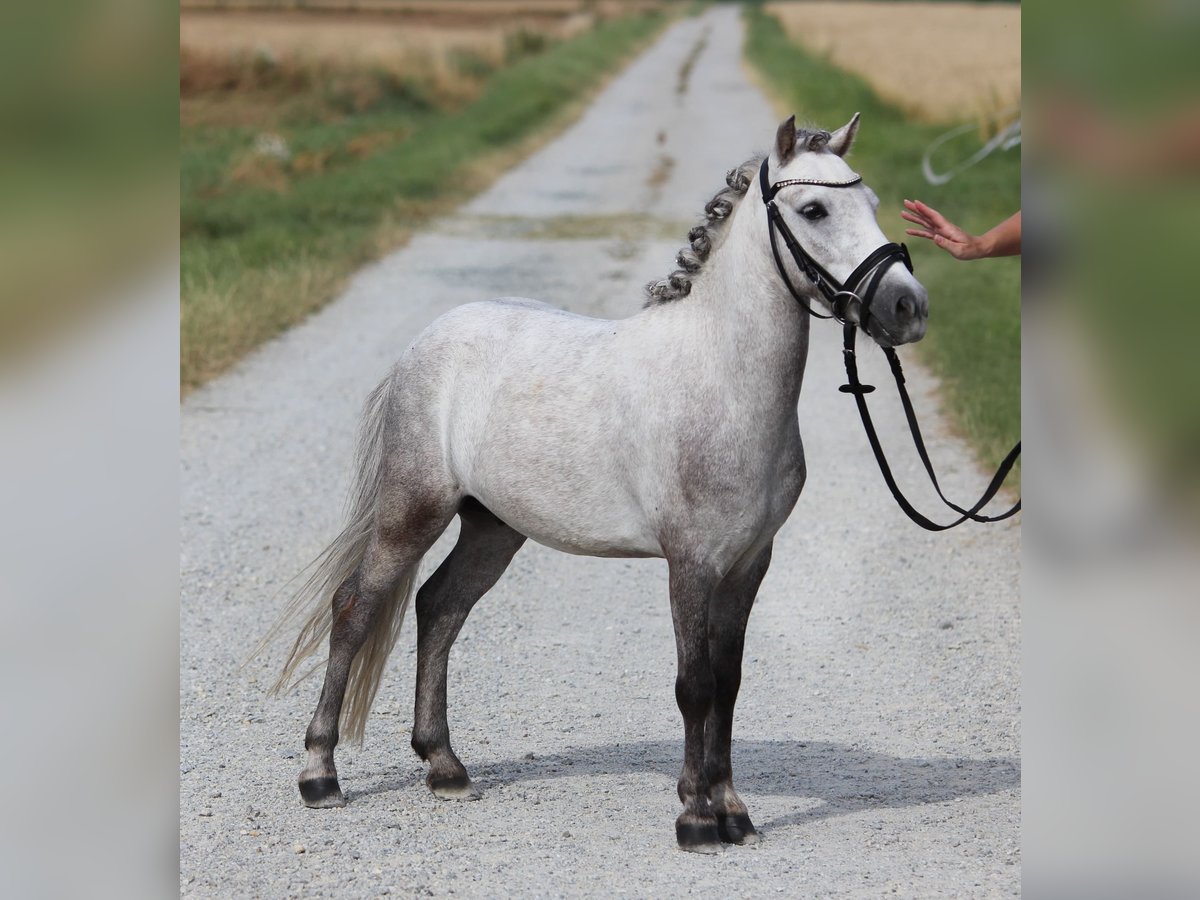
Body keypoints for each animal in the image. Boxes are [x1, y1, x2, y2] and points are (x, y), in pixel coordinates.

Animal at [267, 116, 931, 854]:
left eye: (872, 204)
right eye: (815, 210)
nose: (908, 306)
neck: (721, 381)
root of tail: (427, 341)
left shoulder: (748, 563)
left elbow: (727, 684)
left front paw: (733, 810)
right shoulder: (691, 563)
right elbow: (695, 685)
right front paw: (696, 817)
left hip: (493, 527)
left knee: (440, 607)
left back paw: (444, 766)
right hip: (412, 511)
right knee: (355, 609)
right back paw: (320, 774)